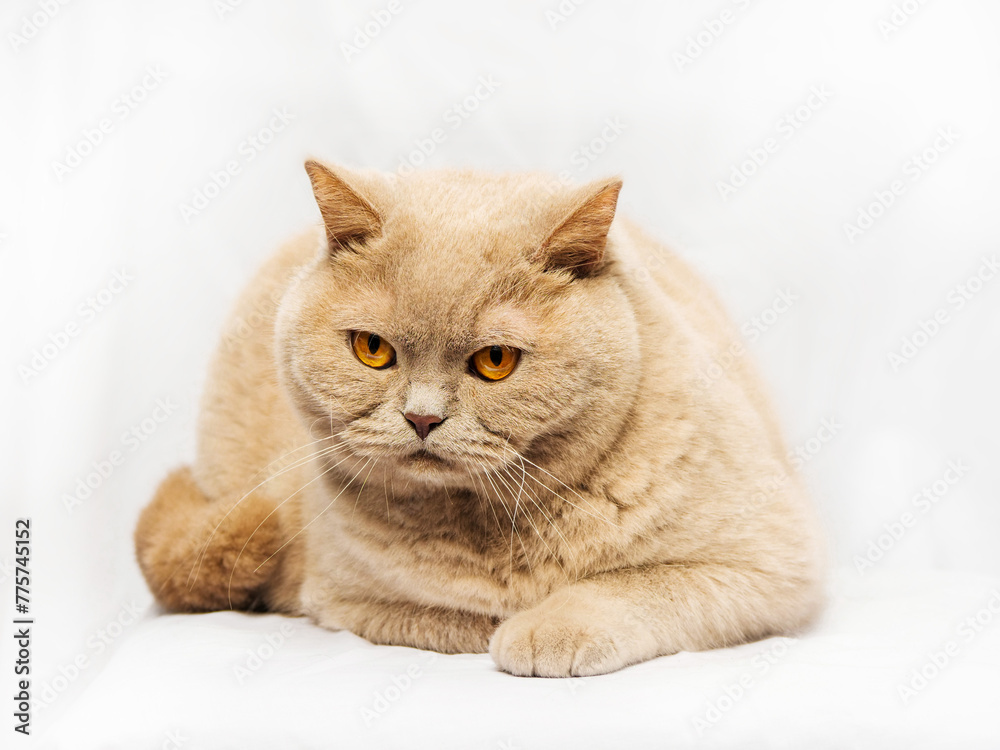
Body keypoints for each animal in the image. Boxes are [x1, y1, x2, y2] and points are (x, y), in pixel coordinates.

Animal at [131, 162, 820, 680]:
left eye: (495, 361)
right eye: (373, 349)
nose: (422, 417)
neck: (496, 526)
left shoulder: (772, 565)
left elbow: (637, 585)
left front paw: (547, 627)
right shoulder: (343, 596)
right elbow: (455, 617)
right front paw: (505, 620)